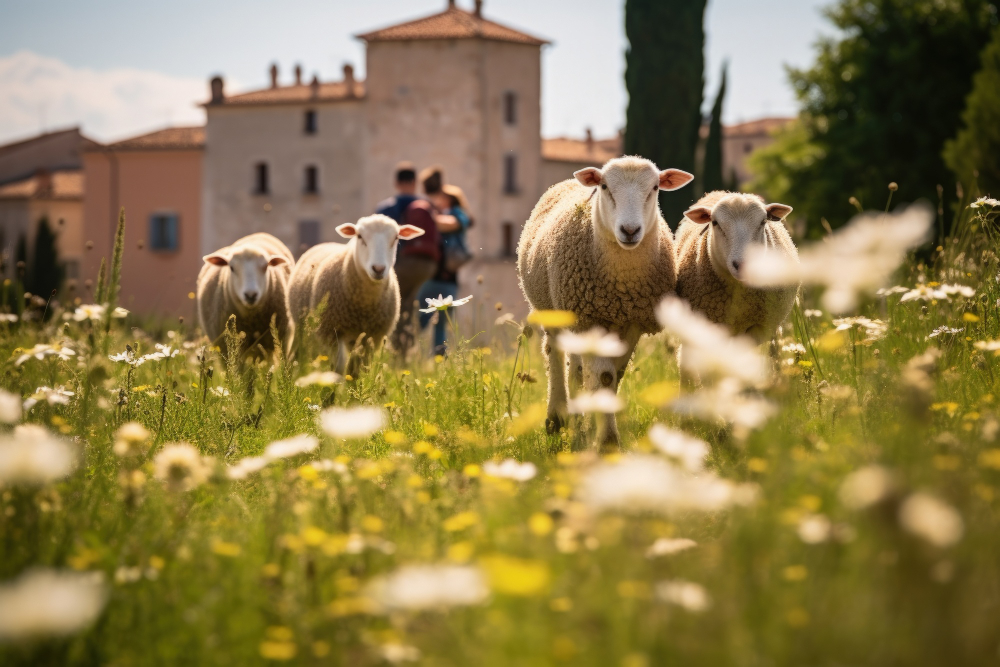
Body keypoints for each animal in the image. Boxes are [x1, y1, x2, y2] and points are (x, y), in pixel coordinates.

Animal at [286, 214, 426, 374]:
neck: (362, 307)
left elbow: (356, 371)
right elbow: (338, 367)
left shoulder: (372, 338)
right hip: (302, 327)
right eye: (359, 236)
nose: (378, 269)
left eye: (396, 237)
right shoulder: (332, 333)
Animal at [516, 157, 696, 448]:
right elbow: (602, 377)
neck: (619, 288)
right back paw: (557, 418)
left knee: (577, 369)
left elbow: (613, 377)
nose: (630, 230)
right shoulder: (590, 318)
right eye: (604, 186)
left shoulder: (631, 324)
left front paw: (600, 433)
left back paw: (580, 424)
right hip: (552, 308)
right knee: (555, 353)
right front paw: (607, 442)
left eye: (655, 187)